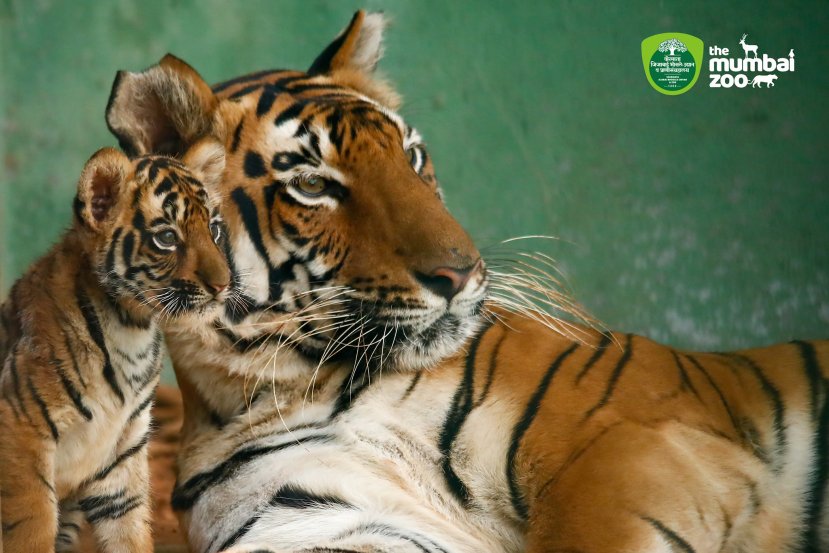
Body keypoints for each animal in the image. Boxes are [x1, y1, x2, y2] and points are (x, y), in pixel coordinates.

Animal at [105, 9, 828, 552]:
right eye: (312, 185)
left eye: (412, 156)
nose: (461, 272)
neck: (280, 381)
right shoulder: (319, 511)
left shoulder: (622, 438)